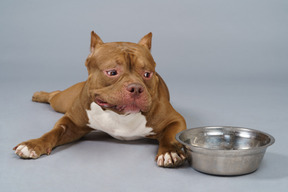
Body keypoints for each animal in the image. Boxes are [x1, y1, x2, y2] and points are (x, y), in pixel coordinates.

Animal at [14, 31, 187, 166]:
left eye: (147, 74)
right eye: (112, 72)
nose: (136, 88)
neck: (120, 116)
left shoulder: (176, 120)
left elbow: (169, 135)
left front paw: (169, 152)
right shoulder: (71, 123)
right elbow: (53, 132)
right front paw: (33, 145)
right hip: (62, 101)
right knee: (55, 95)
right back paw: (39, 95)